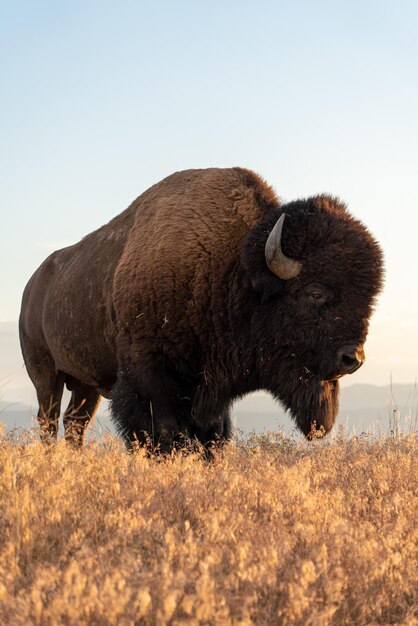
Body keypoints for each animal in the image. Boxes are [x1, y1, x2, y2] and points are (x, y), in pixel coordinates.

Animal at [20, 168, 386, 446]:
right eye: (315, 293)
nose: (352, 358)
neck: (232, 269)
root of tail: (31, 286)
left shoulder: (209, 395)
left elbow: (212, 436)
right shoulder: (149, 380)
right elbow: (164, 433)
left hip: (87, 384)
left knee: (75, 423)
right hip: (45, 374)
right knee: (49, 420)